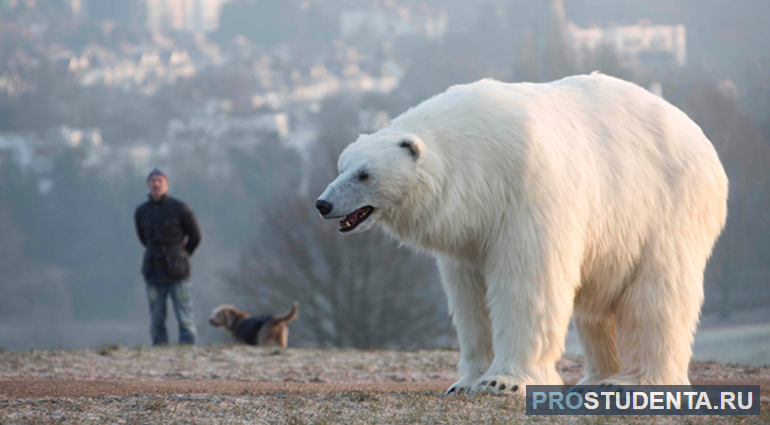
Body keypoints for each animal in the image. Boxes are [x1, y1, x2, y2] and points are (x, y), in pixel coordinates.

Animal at [312, 73, 728, 394]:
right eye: (342, 166)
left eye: (364, 174)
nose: (323, 204)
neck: (478, 160)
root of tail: (702, 139)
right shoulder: (470, 228)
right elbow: (469, 297)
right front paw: (465, 381)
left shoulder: (527, 196)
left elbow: (528, 284)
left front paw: (502, 382)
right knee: (597, 309)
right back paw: (595, 378)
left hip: (665, 207)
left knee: (656, 296)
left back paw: (633, 380)